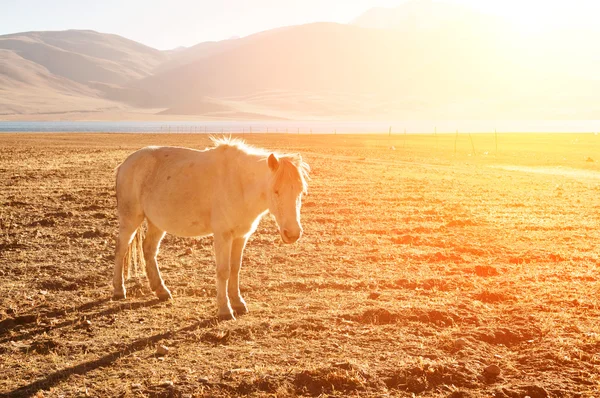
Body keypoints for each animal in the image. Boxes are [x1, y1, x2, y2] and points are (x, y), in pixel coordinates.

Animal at [113, 137, 310, 320]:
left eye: (300, 191)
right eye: (276, 190)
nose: (293, 233)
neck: (239, 183)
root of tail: (125, 164)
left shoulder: (241, 236)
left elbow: (235, 268)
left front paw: (238, 303)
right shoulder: (223, 235)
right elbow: (223, 271)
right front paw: (225, 310)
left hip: (157, 223)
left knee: (149, 250)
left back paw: (161, 291)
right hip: (130, 220)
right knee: (121, 250)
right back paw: (118, 290)